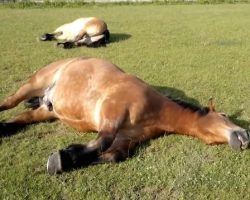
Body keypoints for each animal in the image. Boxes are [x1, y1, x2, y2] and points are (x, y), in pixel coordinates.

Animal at [0, 56, 249, 175]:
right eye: (224, 115)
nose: (245, 137)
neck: (155, 109)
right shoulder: (112, 115)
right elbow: (102, 142)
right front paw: (61, 158)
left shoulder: (127, 138)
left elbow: (113, 156)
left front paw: (68, 158)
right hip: (32, 85)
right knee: (8, 103)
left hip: (46, 111)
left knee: (19, 120)